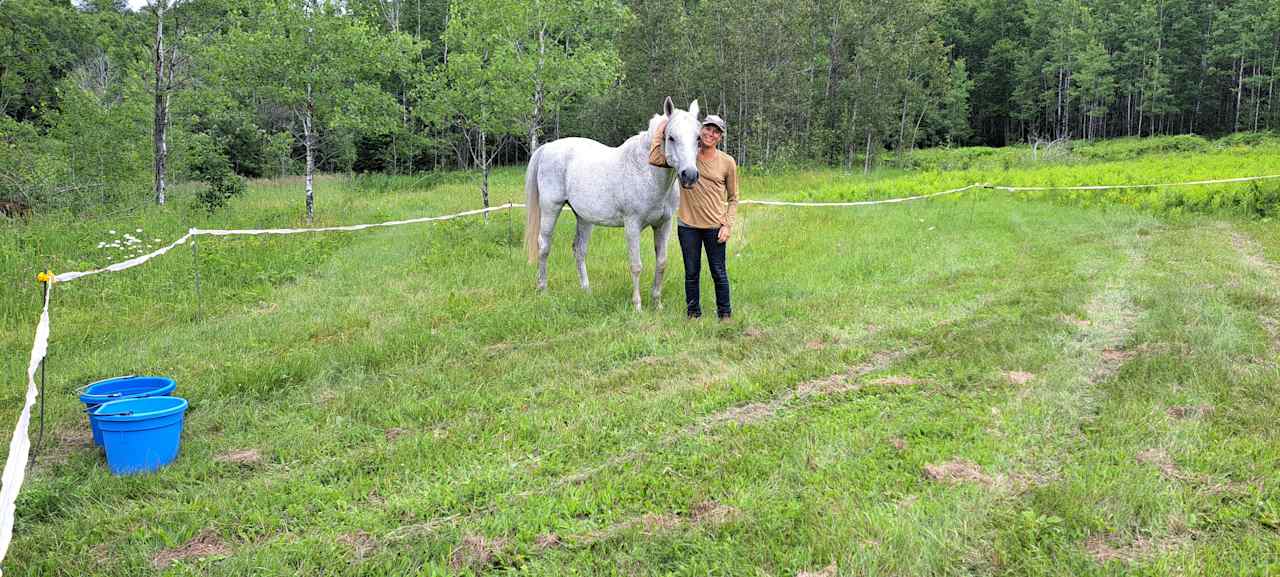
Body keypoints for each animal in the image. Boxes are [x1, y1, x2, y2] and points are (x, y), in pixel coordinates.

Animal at [524, 98, 706, 312]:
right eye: (671, 138)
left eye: (698, 138)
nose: (690, 175)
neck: (647, 173)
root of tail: (547, 148)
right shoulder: (632, 225)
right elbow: (636, 265)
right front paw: (637, 306)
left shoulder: (664, 225)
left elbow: (661, 263)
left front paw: (657, 304)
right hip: (550, 208)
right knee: (544, 246)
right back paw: (543, 289)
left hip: (584, 218)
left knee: (579, 250)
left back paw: (586, 291)